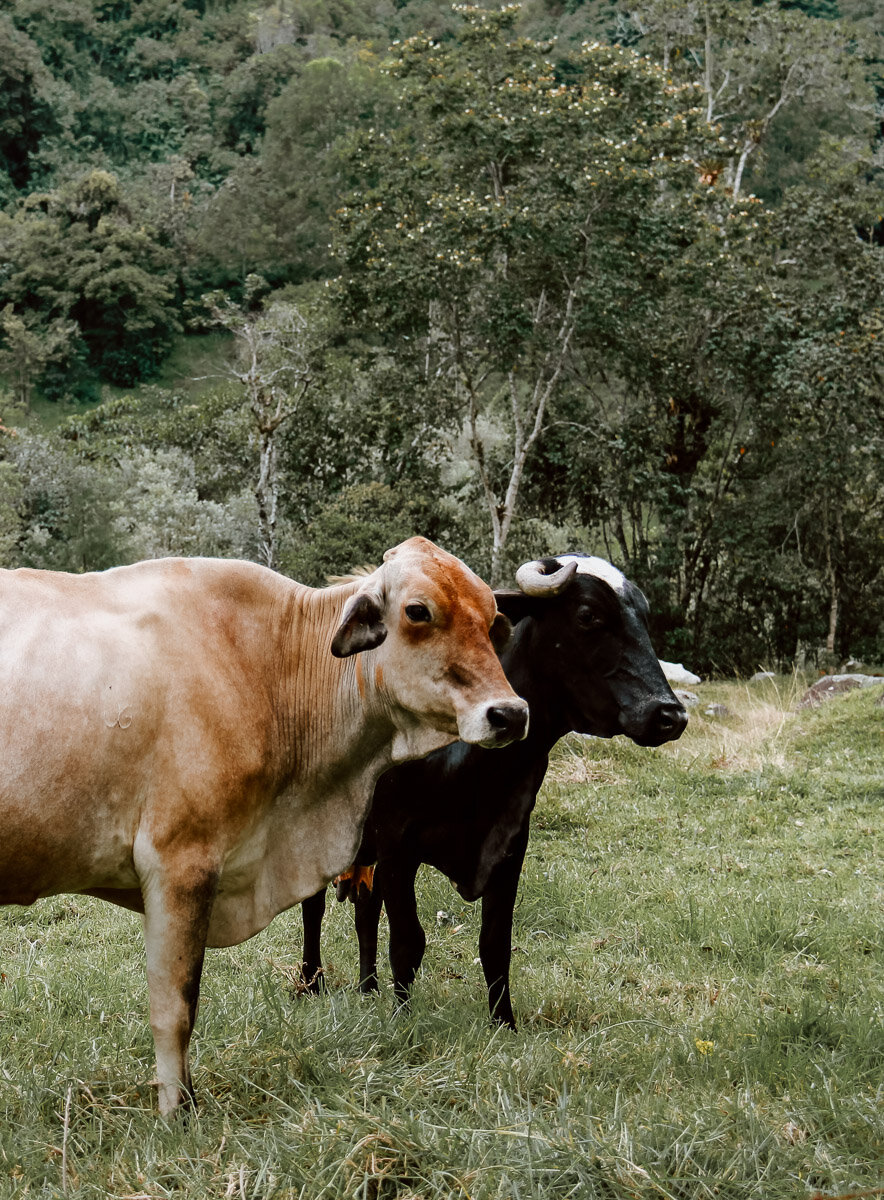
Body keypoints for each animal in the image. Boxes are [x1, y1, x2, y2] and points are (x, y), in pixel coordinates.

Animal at [0, 540, 522, 1108]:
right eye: (419, 611)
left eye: (491, 619)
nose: (510, 714)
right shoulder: (179, 862)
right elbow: (175, 1007)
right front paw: (177, 1112)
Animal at [299, 554, 686, 1032]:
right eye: (588, 615)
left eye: (644, 618)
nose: (669, 715)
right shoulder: (397, 846)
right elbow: (409, 941)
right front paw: (403, 1019)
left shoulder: (509, 847)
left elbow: (495, 943)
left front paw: (504, 1024)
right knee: (314, 907)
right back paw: (310, 983)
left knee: (365, 912)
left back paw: (368, 988)